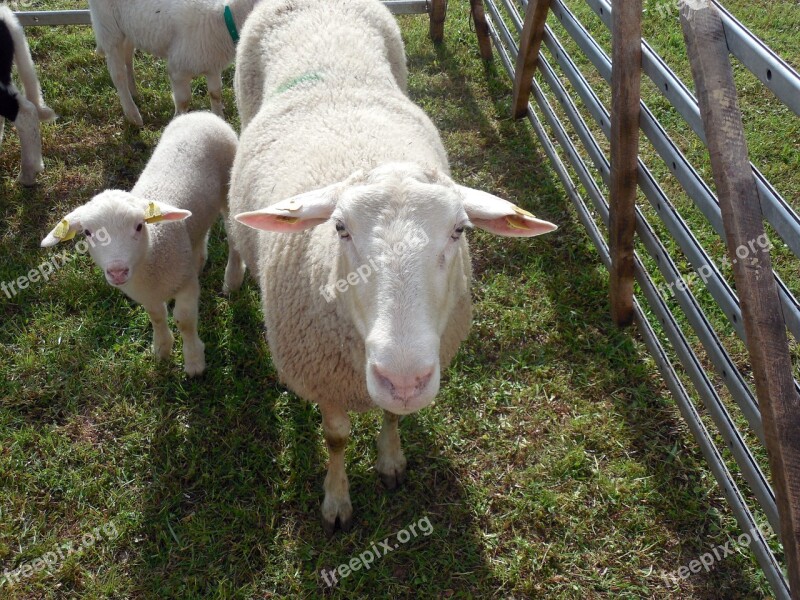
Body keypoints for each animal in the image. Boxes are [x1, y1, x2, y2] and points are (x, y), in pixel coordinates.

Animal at [42, 112, 242, 376]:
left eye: (139, 226)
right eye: (87, 232)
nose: (117, 271)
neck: (152, 254)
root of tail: (201, 114)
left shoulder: (185, 285)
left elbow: (184, 320)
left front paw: (194, 362)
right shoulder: (149, 294)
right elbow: (157, 317)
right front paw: (162, 349)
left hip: (228, 189)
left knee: (233, 237)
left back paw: (232, 279)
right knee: (199, 238)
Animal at [90, 0, 260, 126]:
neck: (223, 20)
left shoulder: (212, 65)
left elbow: (216, 93)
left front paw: (219, 119)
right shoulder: (178, 69)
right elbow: (184, 101)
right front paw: (177, 122)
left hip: (128, 29)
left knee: (127, 56)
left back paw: (133, 91)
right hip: (108, 27)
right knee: (117, 74)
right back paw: (133, 114)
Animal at [228, 0, 560, 536]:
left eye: (459, 230)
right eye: (340, 228)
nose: (404, 379)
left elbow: (392, 417)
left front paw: (390, 461)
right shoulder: (324, 378)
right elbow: (336, 437)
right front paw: (336, 500)